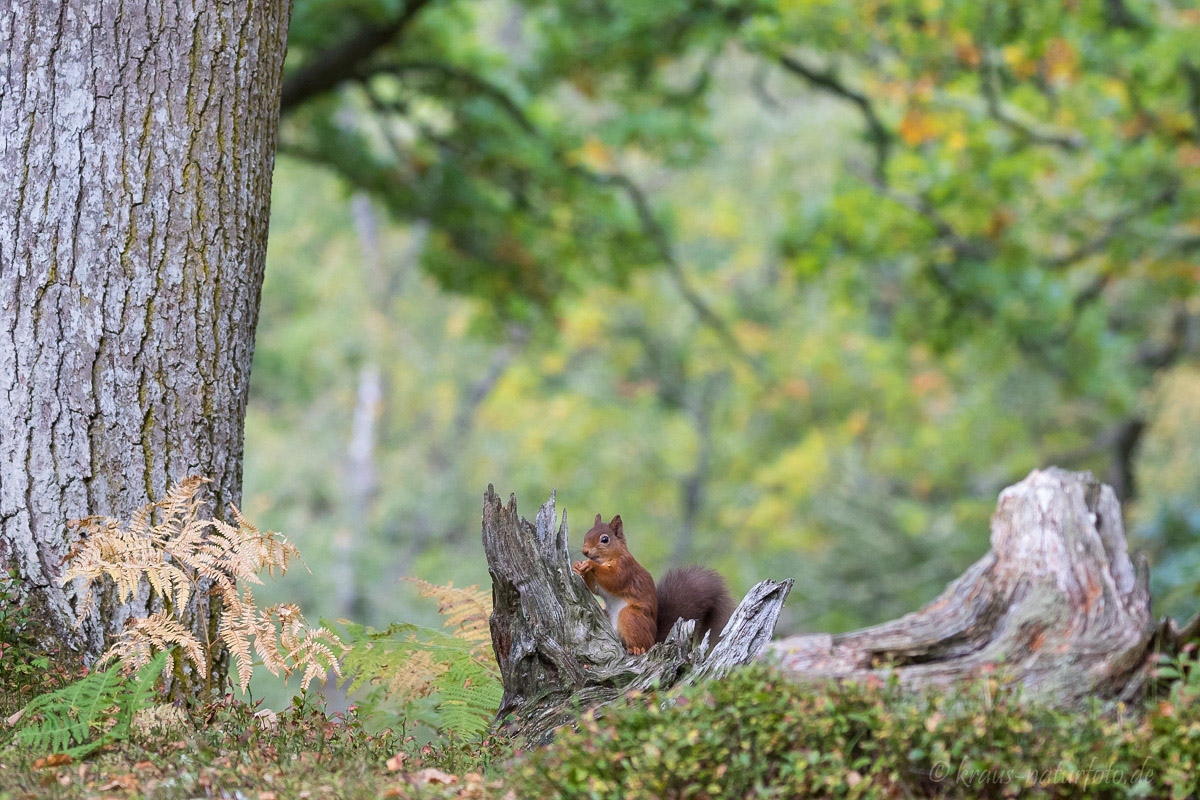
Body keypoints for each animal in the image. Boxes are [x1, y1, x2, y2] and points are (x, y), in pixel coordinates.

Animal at [568, 515, 729, 652]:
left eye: (605, 539)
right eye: (587, 534)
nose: (585, 551)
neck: (610, 557)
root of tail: (654, 639)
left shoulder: (626, 567)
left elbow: (615, 580)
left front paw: (590, 565)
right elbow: (596, 588)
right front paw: (577, 566)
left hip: (632, 616)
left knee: (642, 643)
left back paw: (637, 649)